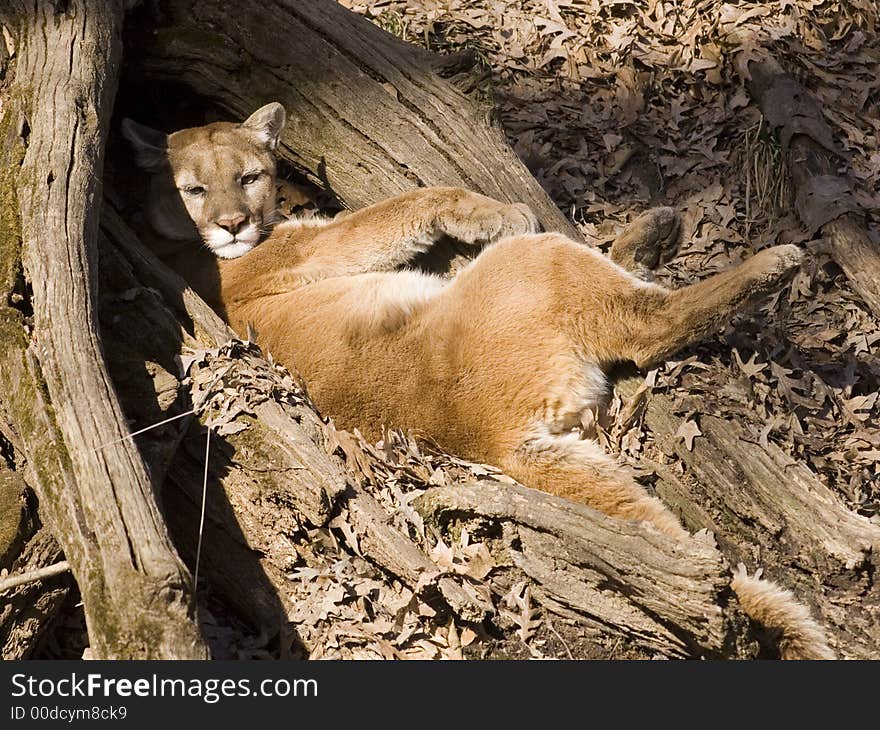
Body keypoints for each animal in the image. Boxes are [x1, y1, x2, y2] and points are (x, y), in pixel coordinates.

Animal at [122, 99, 832, 656]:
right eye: (194, 190)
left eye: (248, 177)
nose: (231, 225)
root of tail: (497, 441)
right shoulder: (315, 245)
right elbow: (411, 202)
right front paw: (496, 212)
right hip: (540, 265)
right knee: (648, 323)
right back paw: (772, 261)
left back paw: (654, 231)